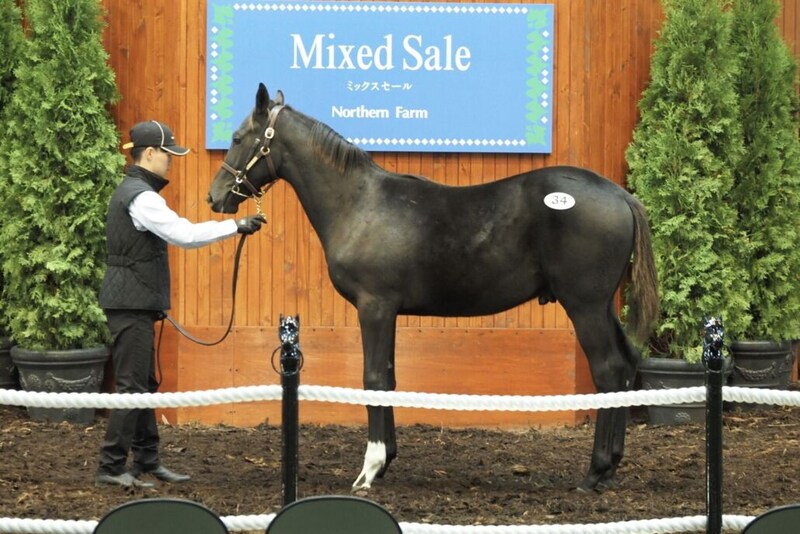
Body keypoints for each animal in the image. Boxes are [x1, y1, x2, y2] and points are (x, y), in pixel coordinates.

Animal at [207, 83, 659, 492]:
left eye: (238, 138)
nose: (215, 197)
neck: (359, 205)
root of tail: (620, 195)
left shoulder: (374, 306)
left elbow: (374, 377)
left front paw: (369, 469)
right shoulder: (386, 311)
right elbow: (389, 377)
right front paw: (386, 460)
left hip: (584, 306)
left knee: (608, 369)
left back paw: (595, 472)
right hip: (602, 306)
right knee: (626, 364)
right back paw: (611, 468)